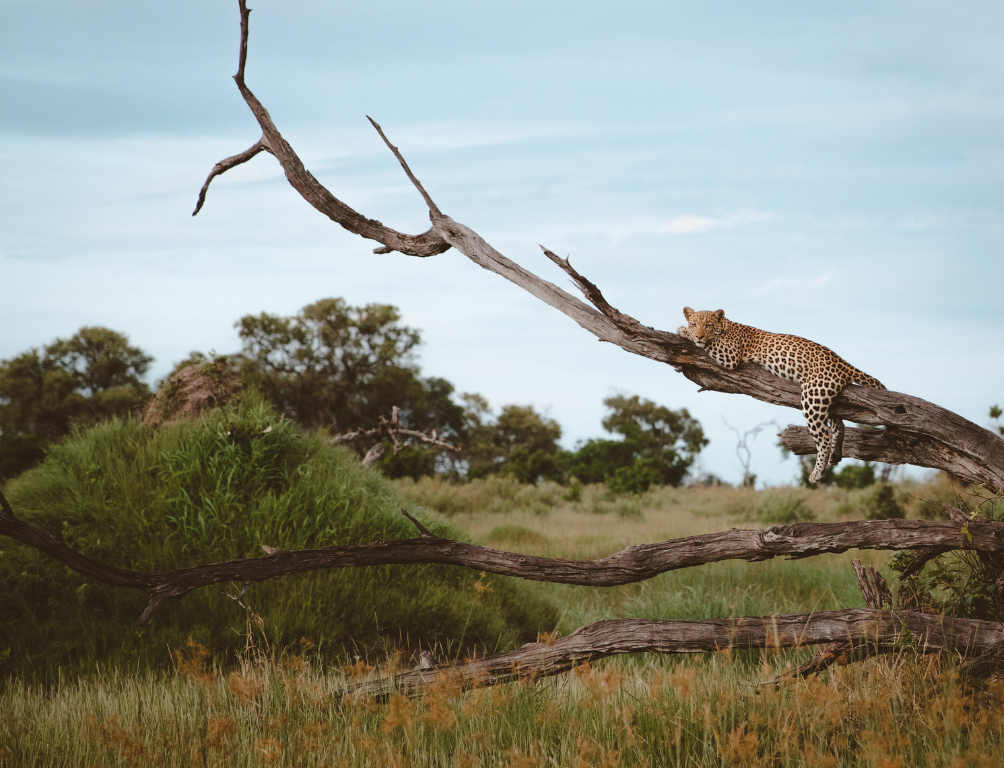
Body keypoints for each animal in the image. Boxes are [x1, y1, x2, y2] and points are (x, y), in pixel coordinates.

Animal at [674, 303, 887, 479]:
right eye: (694, 324)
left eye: (708, 326)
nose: (699, 335)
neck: (727, 325)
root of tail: (842, 362)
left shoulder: (730, 354)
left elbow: (711, 343)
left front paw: (682, 330)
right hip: (825, 396)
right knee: (839, 425)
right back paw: (835, 456)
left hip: (812, 396)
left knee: (824, 436)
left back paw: (816, 473)